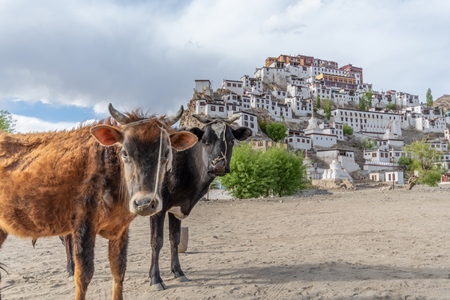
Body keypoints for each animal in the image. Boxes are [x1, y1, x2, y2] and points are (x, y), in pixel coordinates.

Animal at [0, 103, 199, 300]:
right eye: (125, 153)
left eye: (166, 153)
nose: (144, 203)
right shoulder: (83, 225)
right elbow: (83, 276)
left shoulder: (121, 229)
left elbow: (119, 270)